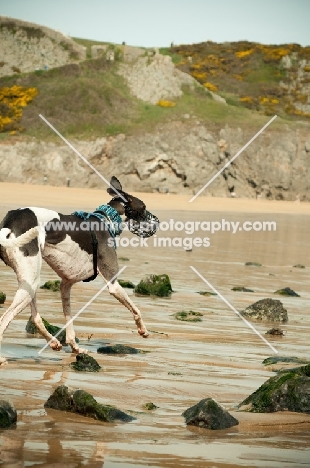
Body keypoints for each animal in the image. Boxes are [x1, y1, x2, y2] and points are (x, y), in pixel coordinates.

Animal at [0, 177, 159, 364]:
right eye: (144, 208)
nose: (158, 222)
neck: (106, 220)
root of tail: (8, 223)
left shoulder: (65, 285)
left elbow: (69, 322)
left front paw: (75, 347)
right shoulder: (113, 283)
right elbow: (136, 310)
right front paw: (143, 330)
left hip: (29, 283)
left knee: (35, 317)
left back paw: (53, 342)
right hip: (30, 282)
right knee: (5, 319)